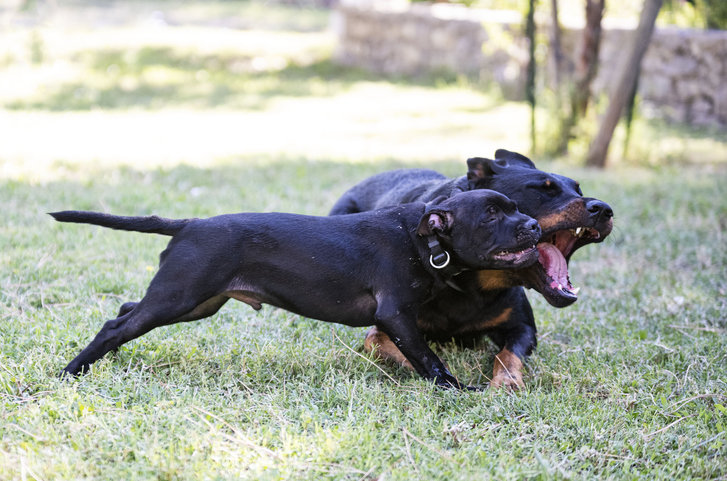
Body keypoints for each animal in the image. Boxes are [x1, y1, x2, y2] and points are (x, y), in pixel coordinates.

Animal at [51, 189, 540, 388]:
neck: (422, 238)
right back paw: (71, 371)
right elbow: (429, 360)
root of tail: (189, 224)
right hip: (178, 298)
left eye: (516, 207)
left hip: (194, 303)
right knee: (115, 326)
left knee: (123, 311)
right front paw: (457, 390)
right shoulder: (395, 315)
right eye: (492, 215)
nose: (534, 226)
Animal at [332, 149, 616, 386]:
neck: (471, 281)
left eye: (578, 190)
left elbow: (507, 355)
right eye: (543, 189)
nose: (605, 209)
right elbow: (403, 350)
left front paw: (506, 382)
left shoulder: (522, 328)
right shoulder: (389, 327)